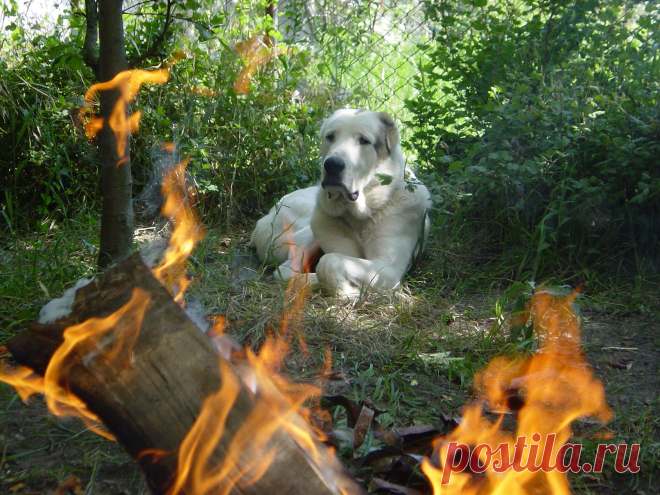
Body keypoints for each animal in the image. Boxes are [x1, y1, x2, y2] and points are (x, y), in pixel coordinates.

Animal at [250, 110, 430, 296]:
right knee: (286, 271)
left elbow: (329, 263)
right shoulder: (342, 251)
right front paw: (349, 289)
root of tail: (270, 211)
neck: (360, 214)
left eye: (364, 140)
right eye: (330, 137)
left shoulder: (388, 266)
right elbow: (329, 263)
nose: (333, 164)